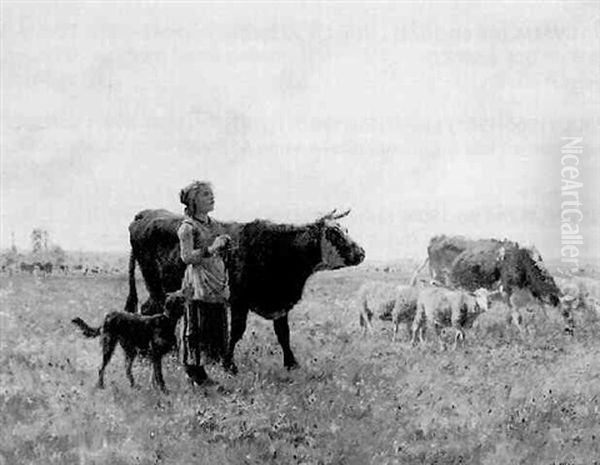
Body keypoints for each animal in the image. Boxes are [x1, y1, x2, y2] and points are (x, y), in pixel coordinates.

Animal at [124, 208, 364, 372]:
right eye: (334, 234)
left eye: (346, 230)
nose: (361, 252)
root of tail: (144, 214)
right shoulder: (240, 301)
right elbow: (236, 332)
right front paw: (228, 364)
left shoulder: (280, 303)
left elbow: (283, 334)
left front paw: (291, 363)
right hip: (156, 284)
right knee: (150, 309)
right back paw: (152, 353)